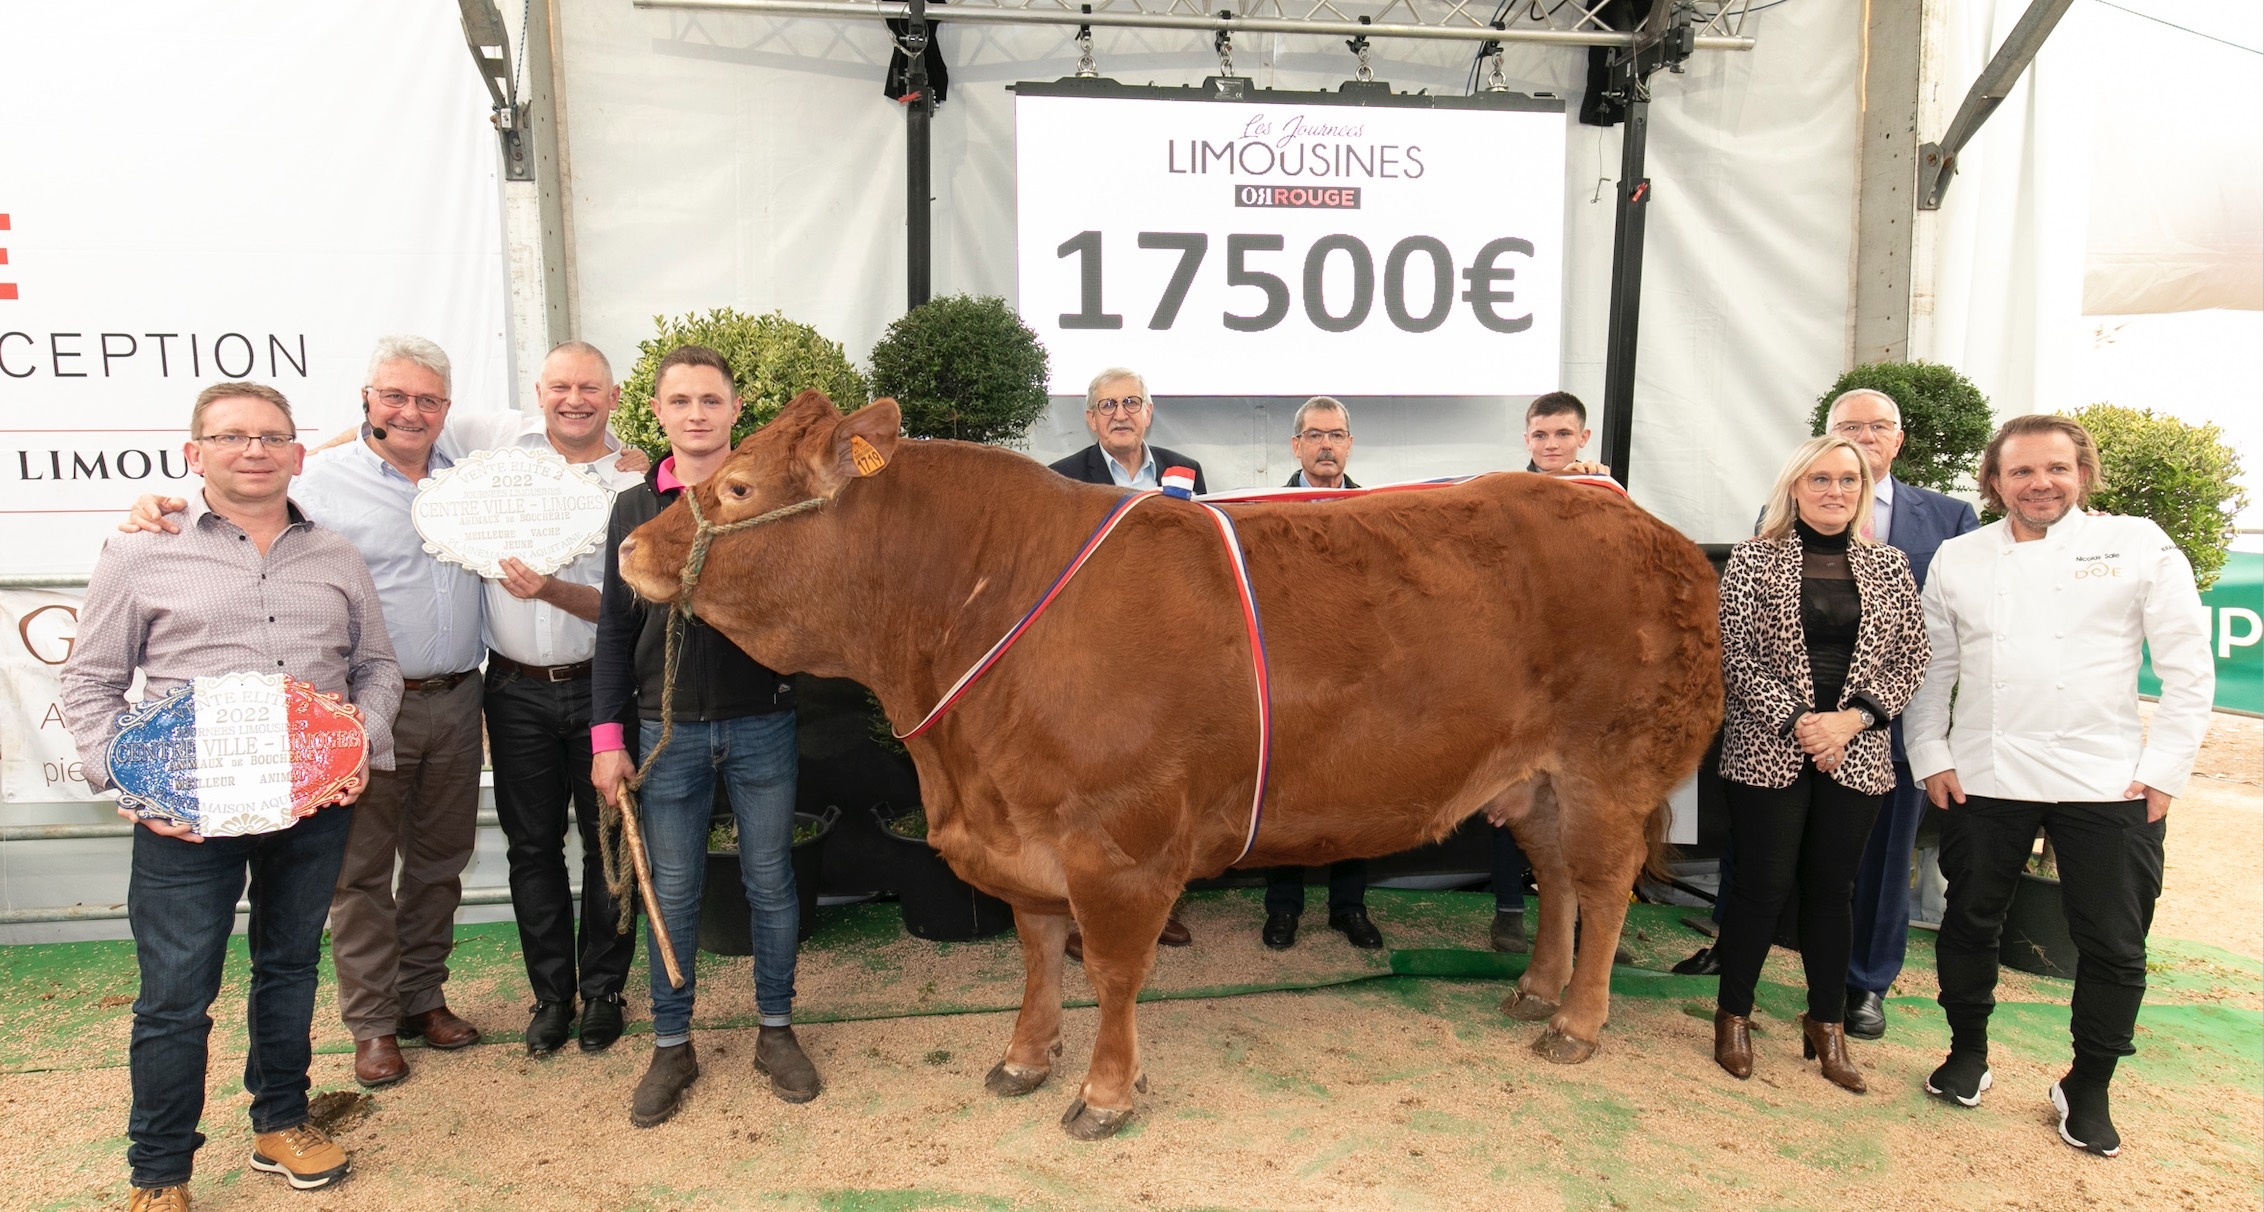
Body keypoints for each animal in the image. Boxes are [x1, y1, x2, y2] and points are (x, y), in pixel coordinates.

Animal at [615, 394, 1711, 1141]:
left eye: (739, 487)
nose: (628, 550)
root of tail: (1645, 525)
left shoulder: (1120, 840)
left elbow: (1110, 969)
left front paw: (1103, 1093)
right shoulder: (1022, 833)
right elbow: (1035, 955)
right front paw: (1024, 1059)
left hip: (1608, 769)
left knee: (1604, 886)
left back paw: (1575, 1022)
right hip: (1537, 784)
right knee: (1558, 877)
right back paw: (1533, 989)